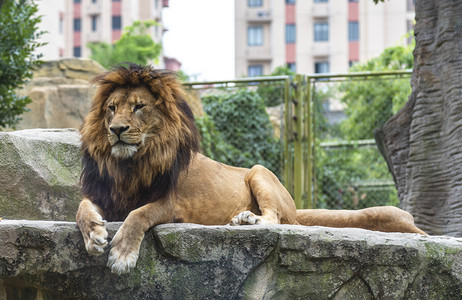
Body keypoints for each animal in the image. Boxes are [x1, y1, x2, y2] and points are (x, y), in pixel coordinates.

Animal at [76, 64, 426, 276]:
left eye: (138, 107)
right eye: (111, 109)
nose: (116, 129)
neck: (130, 164)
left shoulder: (170, 204)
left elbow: (139, 215)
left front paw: (122, 255)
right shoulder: (106, 194)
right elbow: (82, 208)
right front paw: (94, 235)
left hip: (260, 172)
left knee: (276, 220)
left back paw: (247, 219)